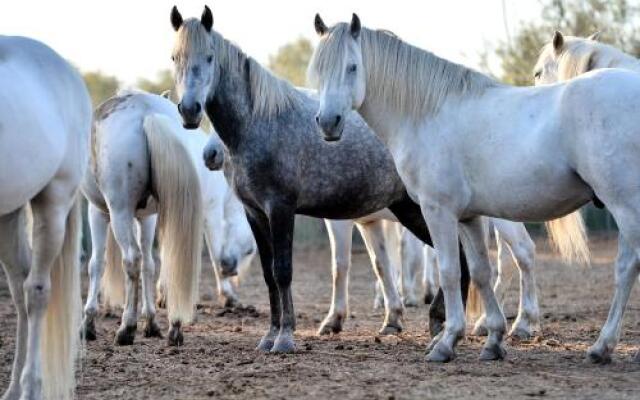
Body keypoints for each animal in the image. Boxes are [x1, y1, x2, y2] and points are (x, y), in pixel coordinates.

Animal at [0, 36, 92, 398]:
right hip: (8, 214)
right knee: (20, 291)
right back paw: (12, 389)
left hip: (53, 204)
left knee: (36, 292)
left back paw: (30, 388)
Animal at [80, 91, 205, 346]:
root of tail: (147, 112)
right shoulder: (147, 218)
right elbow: (149, 264)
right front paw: (151, 322)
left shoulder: (97, 212)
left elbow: (96, 264)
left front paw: (88, 324)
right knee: (156, 261)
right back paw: (174, 328)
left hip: (119, 213)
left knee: (131, 259)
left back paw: (126, 328)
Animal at [169, 5, 470, 350]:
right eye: (174, 57)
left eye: (209, 57)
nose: (189, 110)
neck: (259, 123)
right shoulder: (255, 213)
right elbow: (269, 274)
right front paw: (270, 335)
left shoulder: (281, 208)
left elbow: (283, 271)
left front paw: (285, 338)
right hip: (411, 210)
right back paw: (441, 325)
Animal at [310, 15, 640, 364]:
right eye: (319, 68)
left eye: (352, 67)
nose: (328, 122)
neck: (428, 114)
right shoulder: (469, 217)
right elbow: (481, 271)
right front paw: (493, 339)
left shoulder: (438, 210)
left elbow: (450, 270)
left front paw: (446, 341)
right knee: (624, 267)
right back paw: (599, 346)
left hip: (625, 206)